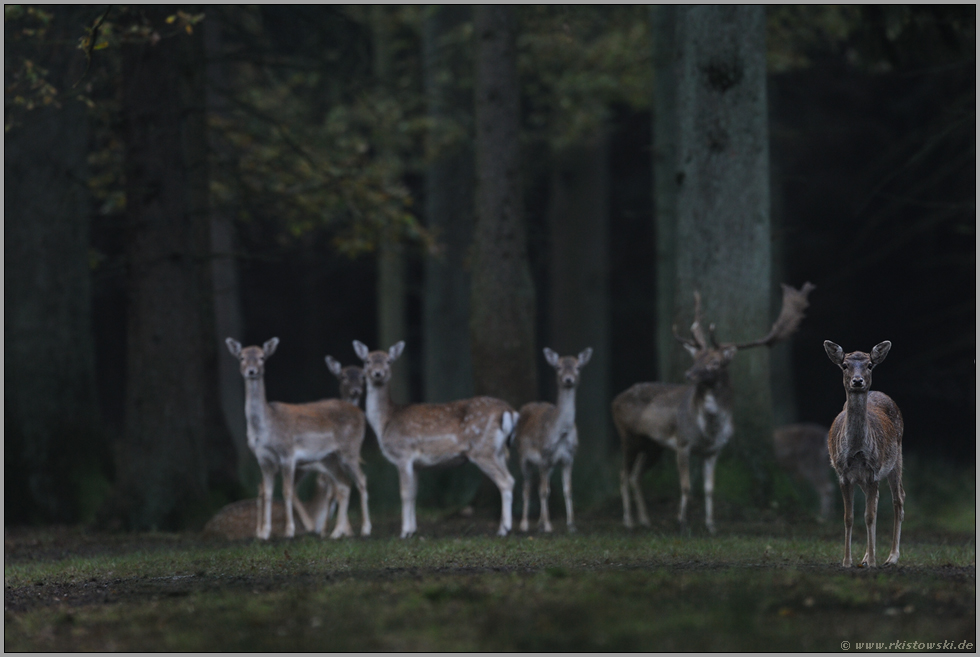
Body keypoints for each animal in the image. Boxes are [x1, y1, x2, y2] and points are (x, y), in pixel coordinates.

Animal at [225, 338, 372, 540]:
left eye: (262, 357)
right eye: (241, 357)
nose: (252, 371)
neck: (265, 428)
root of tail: (360, 413)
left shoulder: (288, 454)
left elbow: (286, 491)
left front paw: (289, 531)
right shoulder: (263, 459)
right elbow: (267, 491)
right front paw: (264, 533)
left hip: (350, 450)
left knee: (362, 480)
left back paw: (365, 529)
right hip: (329, 459)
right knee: (344, 485)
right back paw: (336, 533)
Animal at [352, 340, 520, 536]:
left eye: (388, 361)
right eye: (367, 361)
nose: (378, 373)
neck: (385, 423)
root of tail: (509, 411)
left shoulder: (403, 454)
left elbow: (405, 493)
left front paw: (404, 532)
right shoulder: (416, 464)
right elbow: (414, 493)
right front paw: (413, 529)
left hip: (482, 449)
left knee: (506, 481)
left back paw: (504, 529)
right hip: (498, 451)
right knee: (511, 479)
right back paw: (503, 526)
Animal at [516, 346, 592, 532]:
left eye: (578, 367)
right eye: (558, 367)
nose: (568, 380)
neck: (562, 433)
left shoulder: (568, 458)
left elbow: (567, 490)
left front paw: (571, 525)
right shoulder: (544, 455)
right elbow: (544, 491)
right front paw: (549, 525)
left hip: (547, 465)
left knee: (539, 486)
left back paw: (539, 522)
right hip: (523, 457)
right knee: (527, 487)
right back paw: (525, 524)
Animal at [616, 282, 816, 532]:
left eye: (715, 362)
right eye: (696, 358)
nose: (689, 374)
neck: (708, 430)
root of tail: (616, 399)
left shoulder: (714, 451)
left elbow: (709, 488)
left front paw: (711, 526)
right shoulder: (683, 442)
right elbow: (686, 486)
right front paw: (683, 523)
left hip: (652, 444)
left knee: (635, 476)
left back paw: (645, 520)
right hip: (628, 435)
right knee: (623, 474)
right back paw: (628, 521)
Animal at [820, 340, 904, 568]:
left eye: (869, 365)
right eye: (844, 365)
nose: (857, 381)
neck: (857, 450)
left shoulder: (874, 469)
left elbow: (870, 516)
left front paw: (874, 562)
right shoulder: (843, 474)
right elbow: (849, 517)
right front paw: (847, 561)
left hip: (896, 458)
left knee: (898, 499)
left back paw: (891, 557)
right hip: (864, 479)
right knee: (876, 501)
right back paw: (866, 557)